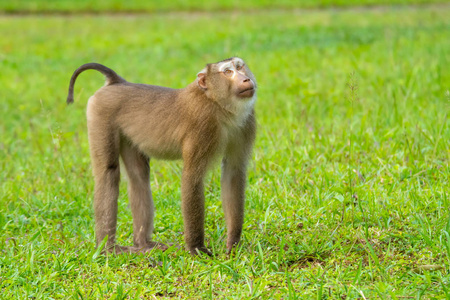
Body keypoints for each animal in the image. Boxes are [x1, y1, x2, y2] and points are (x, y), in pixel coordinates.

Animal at [67, 56, 256, 255]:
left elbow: (233, 173)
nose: (245, 79)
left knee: (139, 177)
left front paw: (233, 245)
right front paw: (197, 249)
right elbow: (192, 178)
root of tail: (117, 82)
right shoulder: (202, 126)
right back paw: (108, 249)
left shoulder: (246, 124)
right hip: (101, 114)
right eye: (227, 72)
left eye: (239, 67)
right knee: (108, 172)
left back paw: (143, 243)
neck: (218, 105)